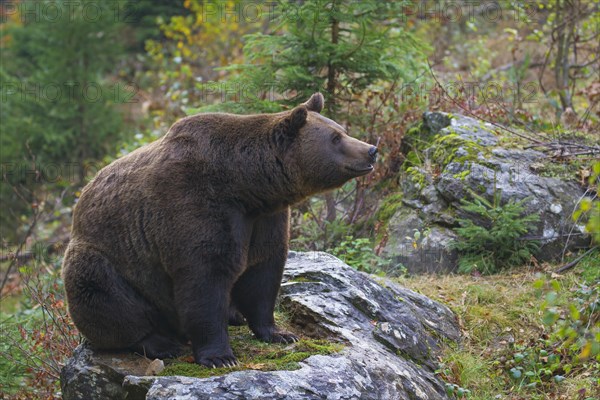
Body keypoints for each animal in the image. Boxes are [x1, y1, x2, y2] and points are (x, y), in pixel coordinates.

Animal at [63, 92, 378, 368]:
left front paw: (279, 333)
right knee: (106, 298)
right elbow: (204, 278)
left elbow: (264, 272)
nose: (372, 150)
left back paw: (234, 315)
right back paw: (161, 343)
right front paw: (220, 356)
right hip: (105, 259)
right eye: (335, 138)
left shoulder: (265, 219)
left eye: (342, 129)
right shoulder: (194, 205)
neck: (245, 185)